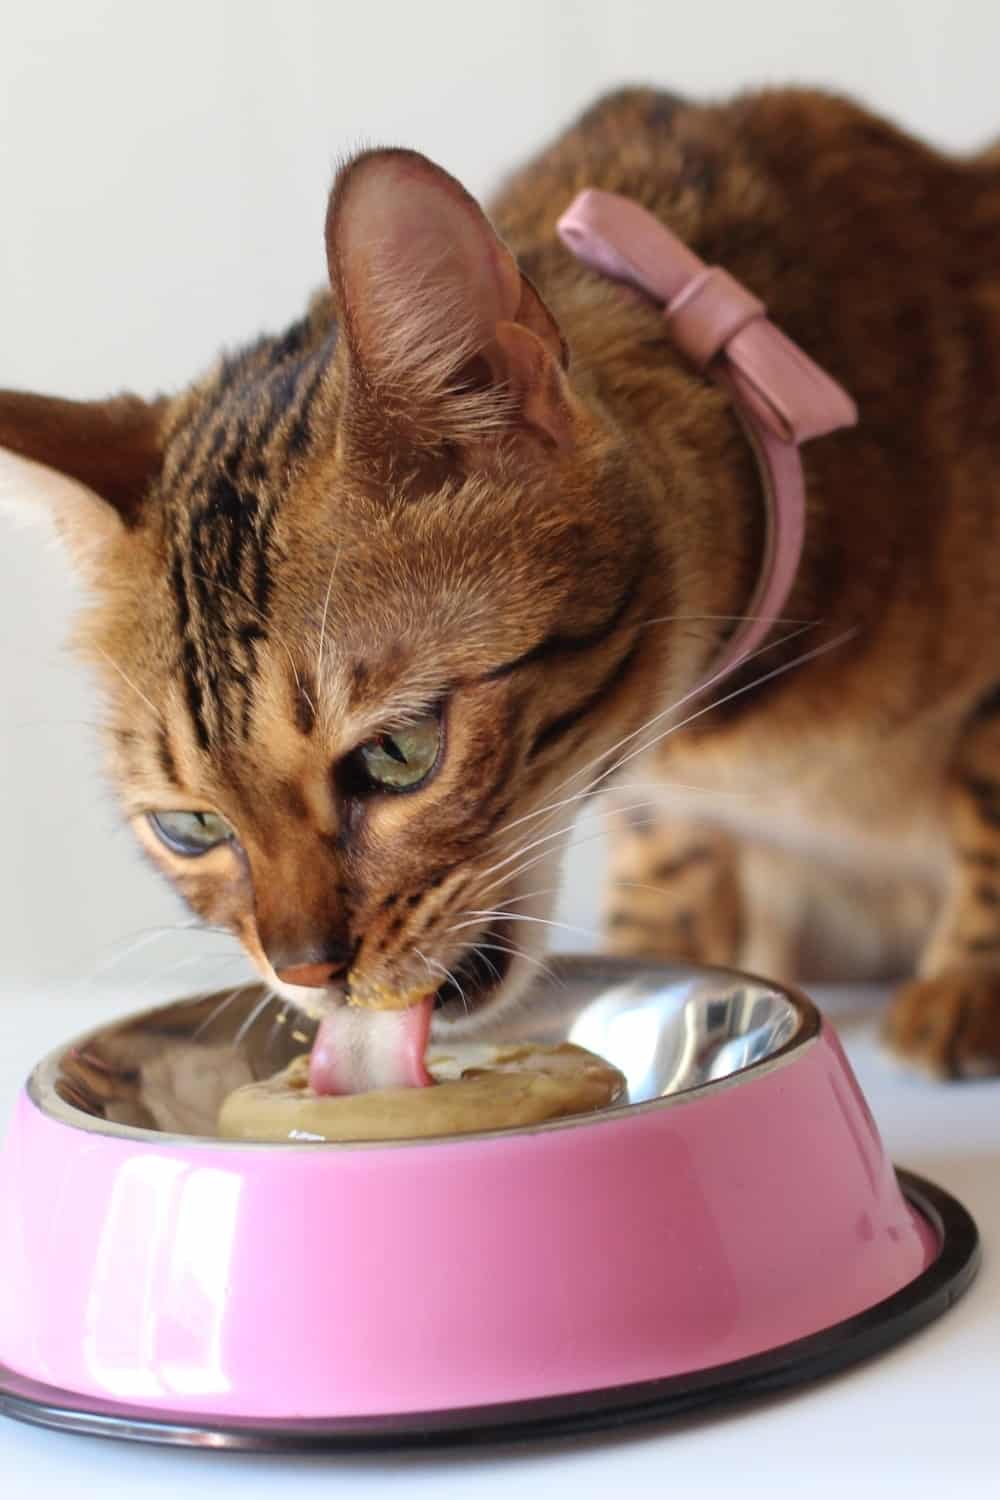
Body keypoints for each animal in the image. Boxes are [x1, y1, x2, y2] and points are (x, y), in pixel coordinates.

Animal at [1, 87, 1000, 1080]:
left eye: (399, 753)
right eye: (192, 828)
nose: (306, 971)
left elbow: (985, 799)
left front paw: (969, 985)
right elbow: (667, 851)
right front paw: (653, 937)